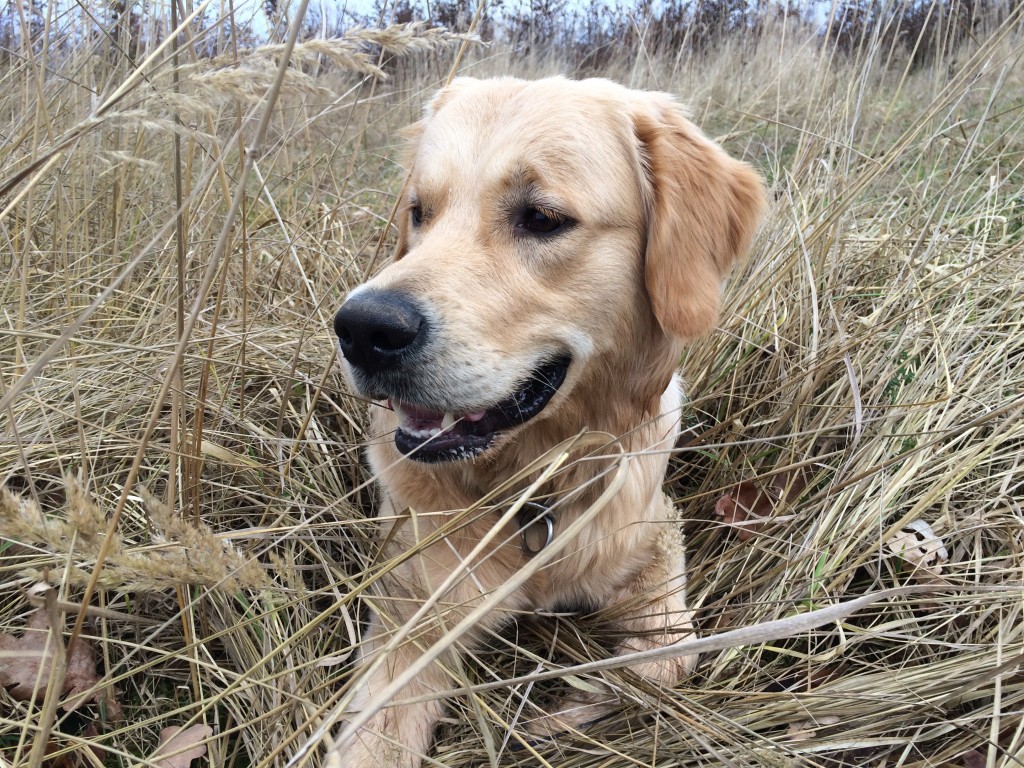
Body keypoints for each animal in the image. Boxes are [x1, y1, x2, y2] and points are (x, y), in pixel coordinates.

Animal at [327, 76, 761, 768]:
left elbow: (668, 661)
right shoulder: (412, 611)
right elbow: (373, 741)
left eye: (542, 218)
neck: (536, 481)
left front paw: (570, 709)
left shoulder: (658, 532)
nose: (363, 329)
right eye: (420, 211)